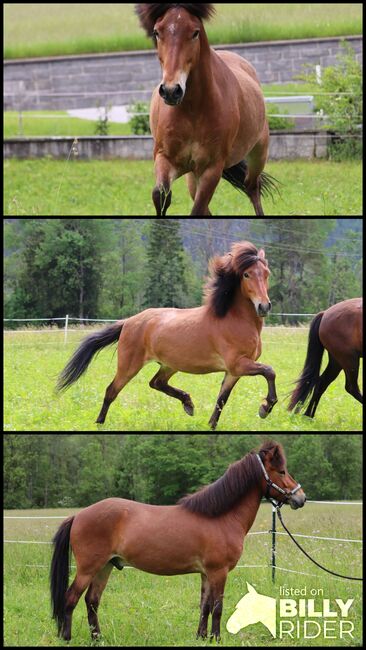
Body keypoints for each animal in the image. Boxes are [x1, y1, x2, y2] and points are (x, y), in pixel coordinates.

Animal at [49, 438, 306, 640]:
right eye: (282, 472)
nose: (301, 498)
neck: (220, 517)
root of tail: (79, 515)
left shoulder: (206, 574)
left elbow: (205, 606)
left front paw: (201, 637)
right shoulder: (219, 572)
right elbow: (218, 608)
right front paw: (216, 638)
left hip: (105, 566)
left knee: (92, 601)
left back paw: (98, 638)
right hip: (89, 568)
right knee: (71, 598)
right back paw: (67, 637)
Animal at [58, 240, 278, 428]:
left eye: (266, 273)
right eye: (246, 275)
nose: (264, 306)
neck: (233, 319)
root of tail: (128, 322)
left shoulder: (233, 372)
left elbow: (221, 400)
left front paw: (211, 425)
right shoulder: (238, 364)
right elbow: (269, 371)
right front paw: (265, 407)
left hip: (169, 365)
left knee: (156, 382)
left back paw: (188, 403)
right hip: (129, 366)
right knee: (112, 390)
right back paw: (100, 423)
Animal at [136, 3, 276, 215]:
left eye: (195, 32)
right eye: (157, 32)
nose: (171, 91)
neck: (192, 111)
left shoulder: (212, 169)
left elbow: (197, 209)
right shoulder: (165, 158)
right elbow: (160, 195)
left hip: (258, 153)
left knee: (252, 187)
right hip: (192, 176)